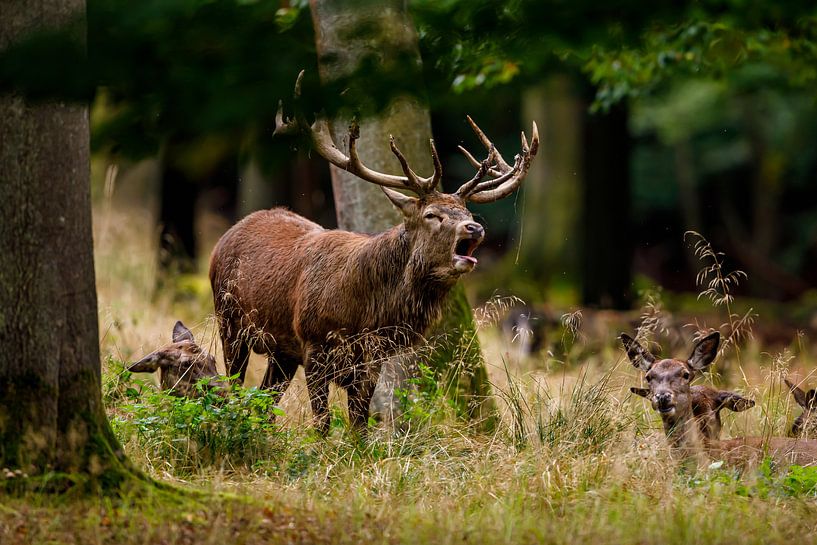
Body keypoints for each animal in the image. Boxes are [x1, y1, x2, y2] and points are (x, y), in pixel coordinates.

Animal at [209, 73, 539, 433]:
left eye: (466, 211)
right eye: (431, 214)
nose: (474, 228)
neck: (365, 313)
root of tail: (227, 235)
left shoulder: (372, 359)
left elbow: (359, 424)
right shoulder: (314, 345)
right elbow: (323, 423)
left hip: (281, 350)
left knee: (265, 401)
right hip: (229, 322)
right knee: (235, 387)